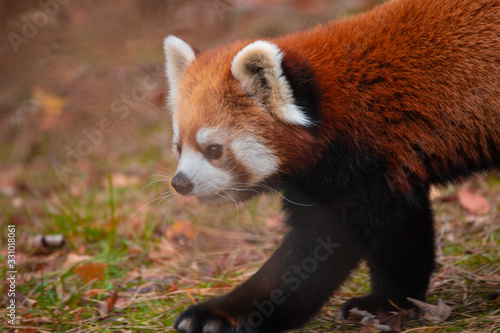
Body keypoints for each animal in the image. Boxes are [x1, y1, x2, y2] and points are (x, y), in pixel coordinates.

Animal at [165, 0, 500, 330]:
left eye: (214, 150)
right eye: (179, 147)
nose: (180, 183)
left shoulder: (362, 164)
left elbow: (316, 250)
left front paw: (225, 314)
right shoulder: (389, 168)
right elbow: (400, 234)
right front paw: (388, 301)